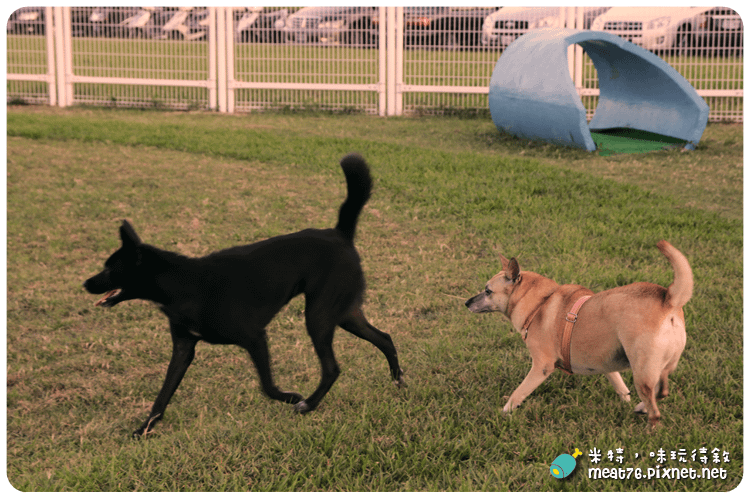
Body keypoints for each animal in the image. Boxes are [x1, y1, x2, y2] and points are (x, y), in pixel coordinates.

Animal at [83, 153, 406, 438]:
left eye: (110, 268)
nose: (85, 283)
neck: (181, 282)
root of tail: (340, 234)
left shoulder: (254, 338)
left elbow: (267, 386)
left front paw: (291, 396)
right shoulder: (184, 348)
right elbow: (162, 396)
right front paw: (144, 430)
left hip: (318, 316)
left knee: (332, 368)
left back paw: (308, 405)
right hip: (344, 313)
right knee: (384, 338)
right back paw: (399, 382)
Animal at [468, 240, 696, 428]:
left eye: (487, 291)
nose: (466, 303)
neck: (540, 303)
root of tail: (668, 299)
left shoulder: (541, 367)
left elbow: (518, 393)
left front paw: (504, 412)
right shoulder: (605, 363)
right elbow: (620, 385)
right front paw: (626, 400)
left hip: (642, 371)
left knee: (655, 410)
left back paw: (648, 430)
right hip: (658, 368)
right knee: (661, 391)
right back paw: (641, 407)